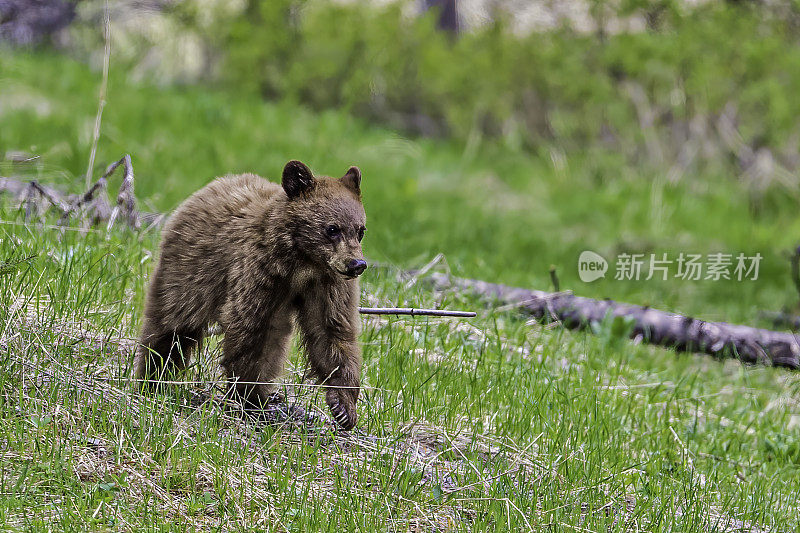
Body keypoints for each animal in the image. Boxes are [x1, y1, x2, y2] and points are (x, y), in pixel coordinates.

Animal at [134, 158, 366, 428]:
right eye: (332, 228)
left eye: (360, 230)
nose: (357, 264)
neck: (301, 264)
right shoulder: (258, 272)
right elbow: (248, 327)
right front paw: (247, 397)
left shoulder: (327, 285)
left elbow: (332, 331)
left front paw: (344, 407)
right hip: (190, 272)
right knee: (171, 323)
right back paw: (153, 378)